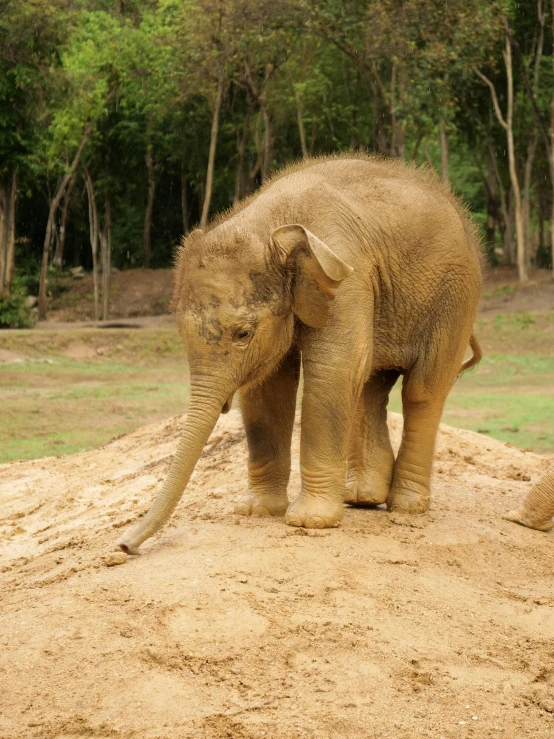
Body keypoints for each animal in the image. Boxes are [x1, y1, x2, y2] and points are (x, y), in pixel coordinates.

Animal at [119, 153, 478, 556]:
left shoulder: (346, 279)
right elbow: (268, 387)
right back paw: (362, 498)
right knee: (371, 384)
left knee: (421, 390)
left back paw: (406, 506)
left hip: (456, 298)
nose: (124, 547)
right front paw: (257, 512)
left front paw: (310, 522)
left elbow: (332, 372)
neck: (270, 224)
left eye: (243, 333)